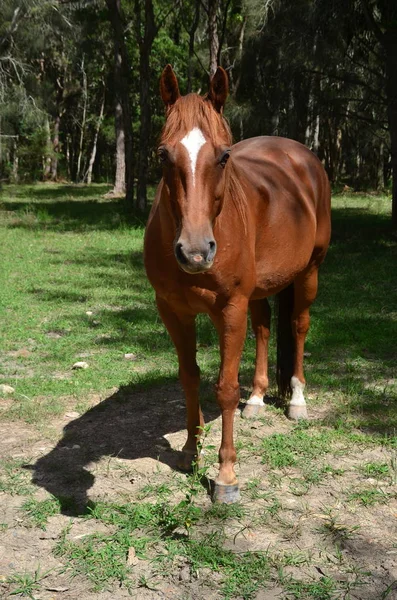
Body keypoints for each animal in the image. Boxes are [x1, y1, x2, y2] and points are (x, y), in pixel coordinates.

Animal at [144, 65, 330, 504]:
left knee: (298, 326)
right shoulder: (173, 310)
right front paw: (189, 451)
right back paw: (258, 399)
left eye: (224, 155)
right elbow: (189, 377)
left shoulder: (230, 308)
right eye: (162, 154)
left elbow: (225, 387)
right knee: (263, 328)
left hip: (309, 273)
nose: (195, 252)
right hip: (259, 292)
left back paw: (297, 400)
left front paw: (226, 475)